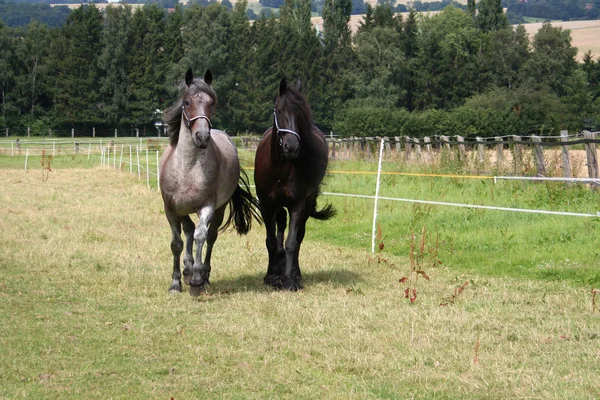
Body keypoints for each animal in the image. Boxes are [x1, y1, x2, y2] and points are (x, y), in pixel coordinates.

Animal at [252, 79, 336, 290]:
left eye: (300, 113)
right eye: (279, 110)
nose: (292, 146)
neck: (280, 168)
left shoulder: (298, 204)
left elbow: (292, 242)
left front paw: (290, 280)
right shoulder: (266, 205)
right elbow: (271, 240)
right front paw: (272, 276)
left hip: (307, 202)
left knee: (299, 237)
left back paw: (295, 272)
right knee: (281, 225)